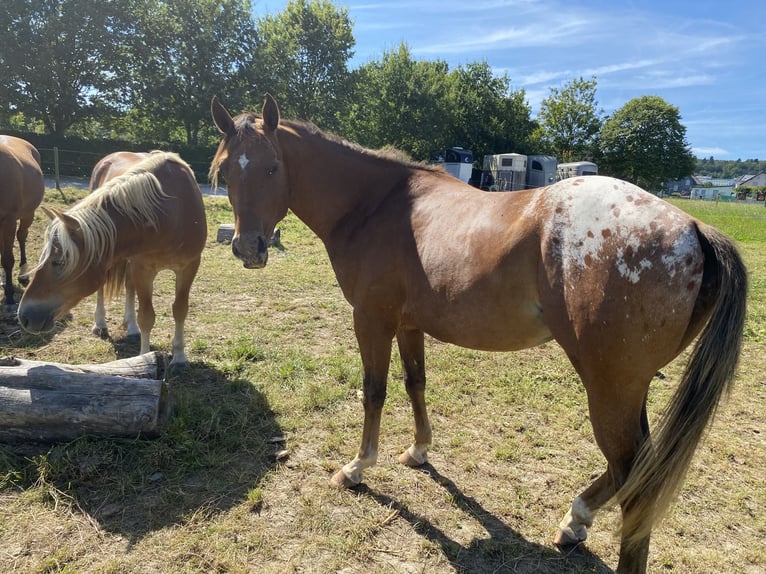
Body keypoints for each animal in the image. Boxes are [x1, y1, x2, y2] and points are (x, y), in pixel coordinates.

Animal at [0, 136, 45, 310]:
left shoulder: (9, 221)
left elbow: (7, 259)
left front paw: (9, 297)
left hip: (28, 214)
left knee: (21, 236)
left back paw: (22, 274)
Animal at [18, 148, 207, 364]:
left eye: (60, 261)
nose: (24, 316)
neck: (170, 214)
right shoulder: (143, 268)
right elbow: (146, 317)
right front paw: (144, 358)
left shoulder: (189, 266)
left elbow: (180, 310)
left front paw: (179, 357)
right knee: (106, 289)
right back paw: (101, 323)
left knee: (129, 286)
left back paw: (131, 327)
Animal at [210, 97, 752, 572]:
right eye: (226, 172)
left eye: (272, 168)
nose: (249, 248)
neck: (374, 204)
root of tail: (692, 227)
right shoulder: (408, 324)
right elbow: (415, 383)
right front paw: (418, 451)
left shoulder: (372, 319)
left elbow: (374, 392)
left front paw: (358, 467)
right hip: (628, 389)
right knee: (637, 468)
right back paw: (573, 522)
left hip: (610, 388)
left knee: (635, 481)